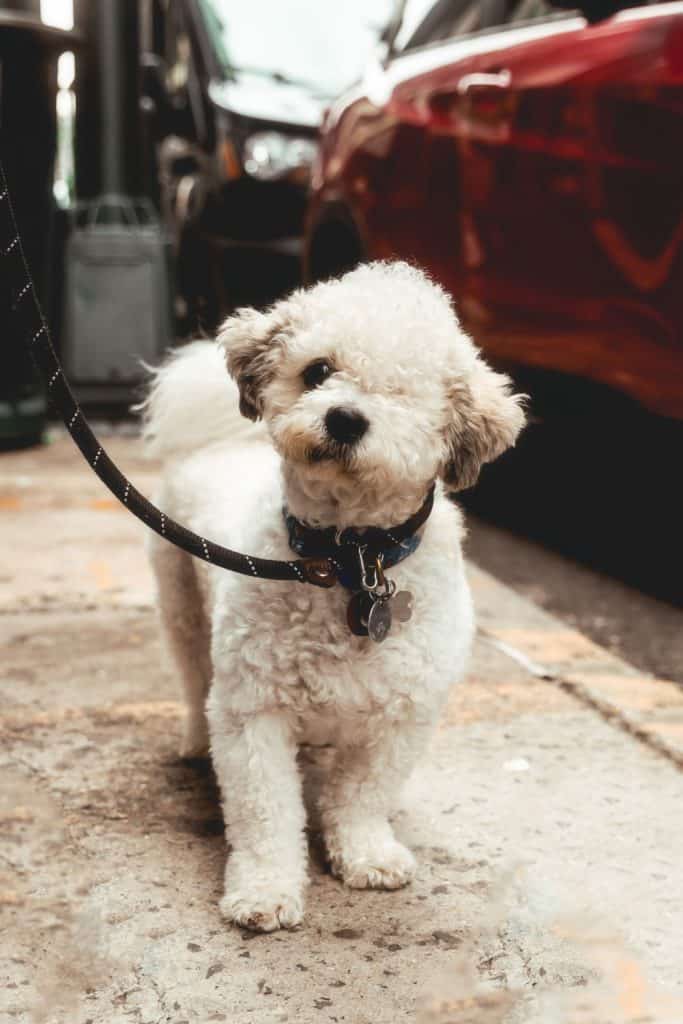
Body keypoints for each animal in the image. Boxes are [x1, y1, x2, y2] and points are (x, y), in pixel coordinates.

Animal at [144, 260, 528, 933]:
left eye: (404, 393)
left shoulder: (400, 717)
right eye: (318, 370)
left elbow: (362, 797)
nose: (345, 418)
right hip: (183, 609)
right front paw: (266, 890)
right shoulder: (253, 712)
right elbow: (266, 814)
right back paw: (194, 740)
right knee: (194, 681)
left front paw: (366, 854)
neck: (350, 562)